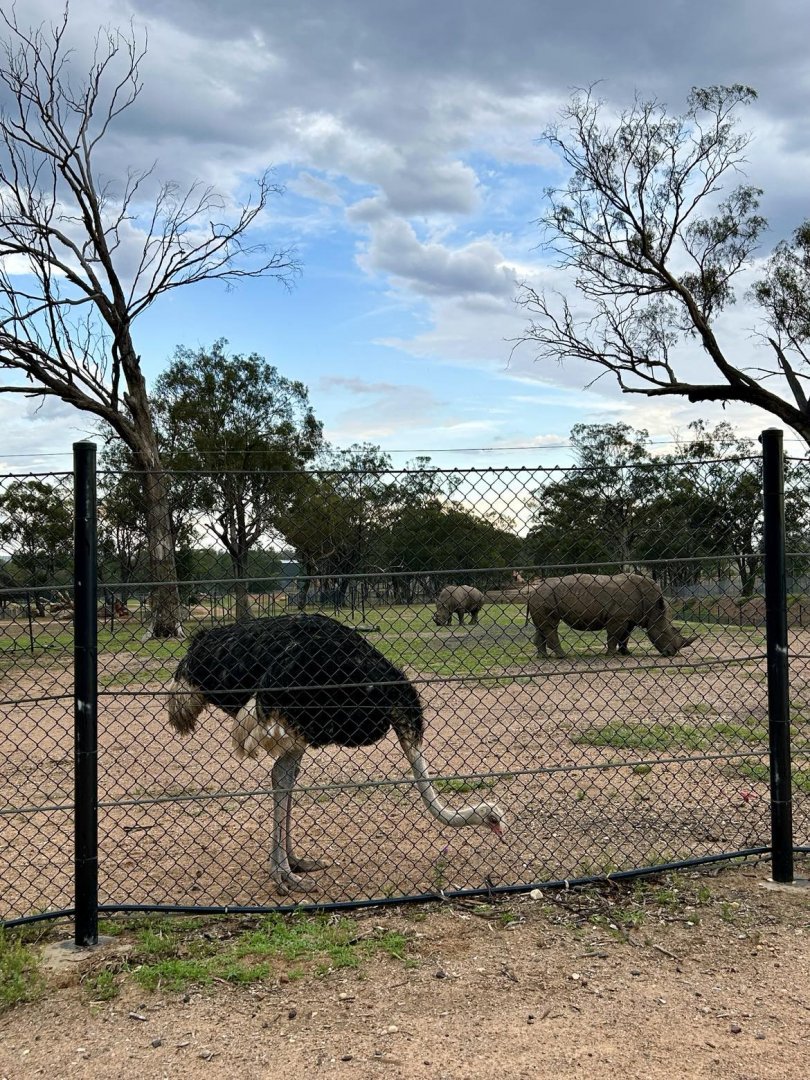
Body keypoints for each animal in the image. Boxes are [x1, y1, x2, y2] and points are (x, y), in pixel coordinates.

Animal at [527, 573, 697, 658]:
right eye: (665, 632)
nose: (671, 654)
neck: (653, 609)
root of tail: (533, 590)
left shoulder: (629, 618)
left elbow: (625, 636)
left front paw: (626, 653)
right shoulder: (618, 617)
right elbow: (613, 636)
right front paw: (611, 655)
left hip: (542, 597)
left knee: (542, 626)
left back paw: (543, 657)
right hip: (545, 596)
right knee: (551, 625)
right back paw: (563, 657)